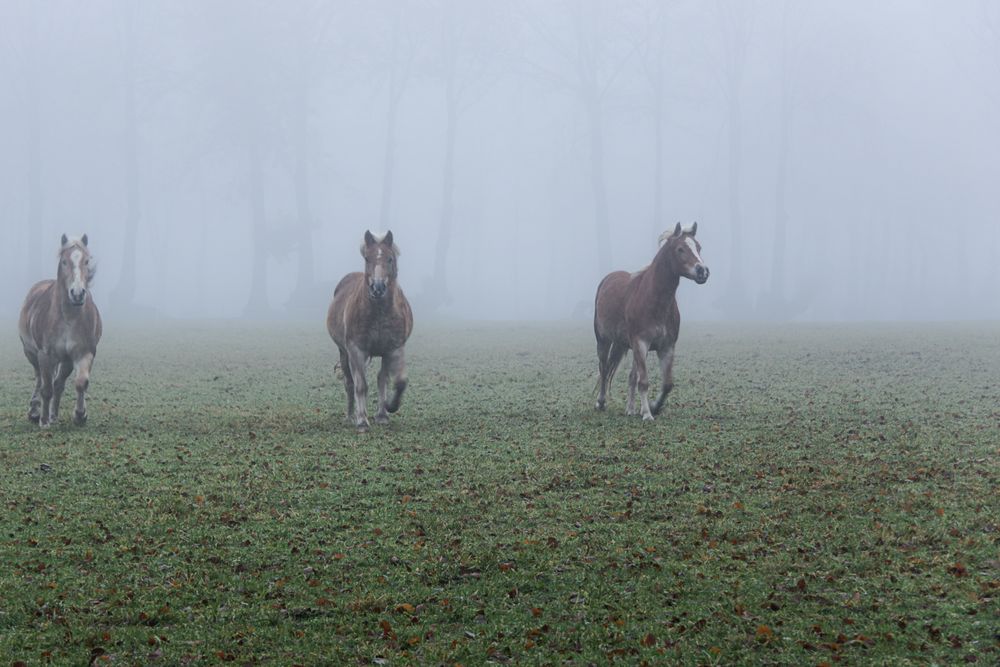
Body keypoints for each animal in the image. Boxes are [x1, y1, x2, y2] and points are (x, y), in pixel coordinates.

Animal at [19, 234, 103, 428]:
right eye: (64, 261)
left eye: (86, 261)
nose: (77, 294)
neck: (69, 318)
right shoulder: (45, 355)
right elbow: (46, 389)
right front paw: (43, 421)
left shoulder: (84, 353)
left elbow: (81, 382)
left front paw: (80, 415)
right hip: (32, 354)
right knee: (39, 379)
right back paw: (35, 412)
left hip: (65, 361)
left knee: (58, 384)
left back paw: (54, 415)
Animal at [328, 231, 414, 434]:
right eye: (367, 258)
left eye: (390, 259)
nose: (378, 288)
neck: (379, 313)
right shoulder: (356, 351)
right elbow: (361, 385)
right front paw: (362, 421)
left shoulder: (394, 349)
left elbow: (398, 381)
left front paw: (389, 408)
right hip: (344, 353)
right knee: (350, 383)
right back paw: (351, 416)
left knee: (381, 379)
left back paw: (381, 414)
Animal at [592, 224, 712, 422]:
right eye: (680, 249)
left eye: (698, 247)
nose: (703, 271)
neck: (654, 300)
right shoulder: (641, 343)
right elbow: (644, 381)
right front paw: (648, 414)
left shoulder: (666, 347)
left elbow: (667, 384)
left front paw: (654, 407)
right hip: (604, 341)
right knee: (604, 368)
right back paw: (601, 402)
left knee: (631, 376)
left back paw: (630, 409)